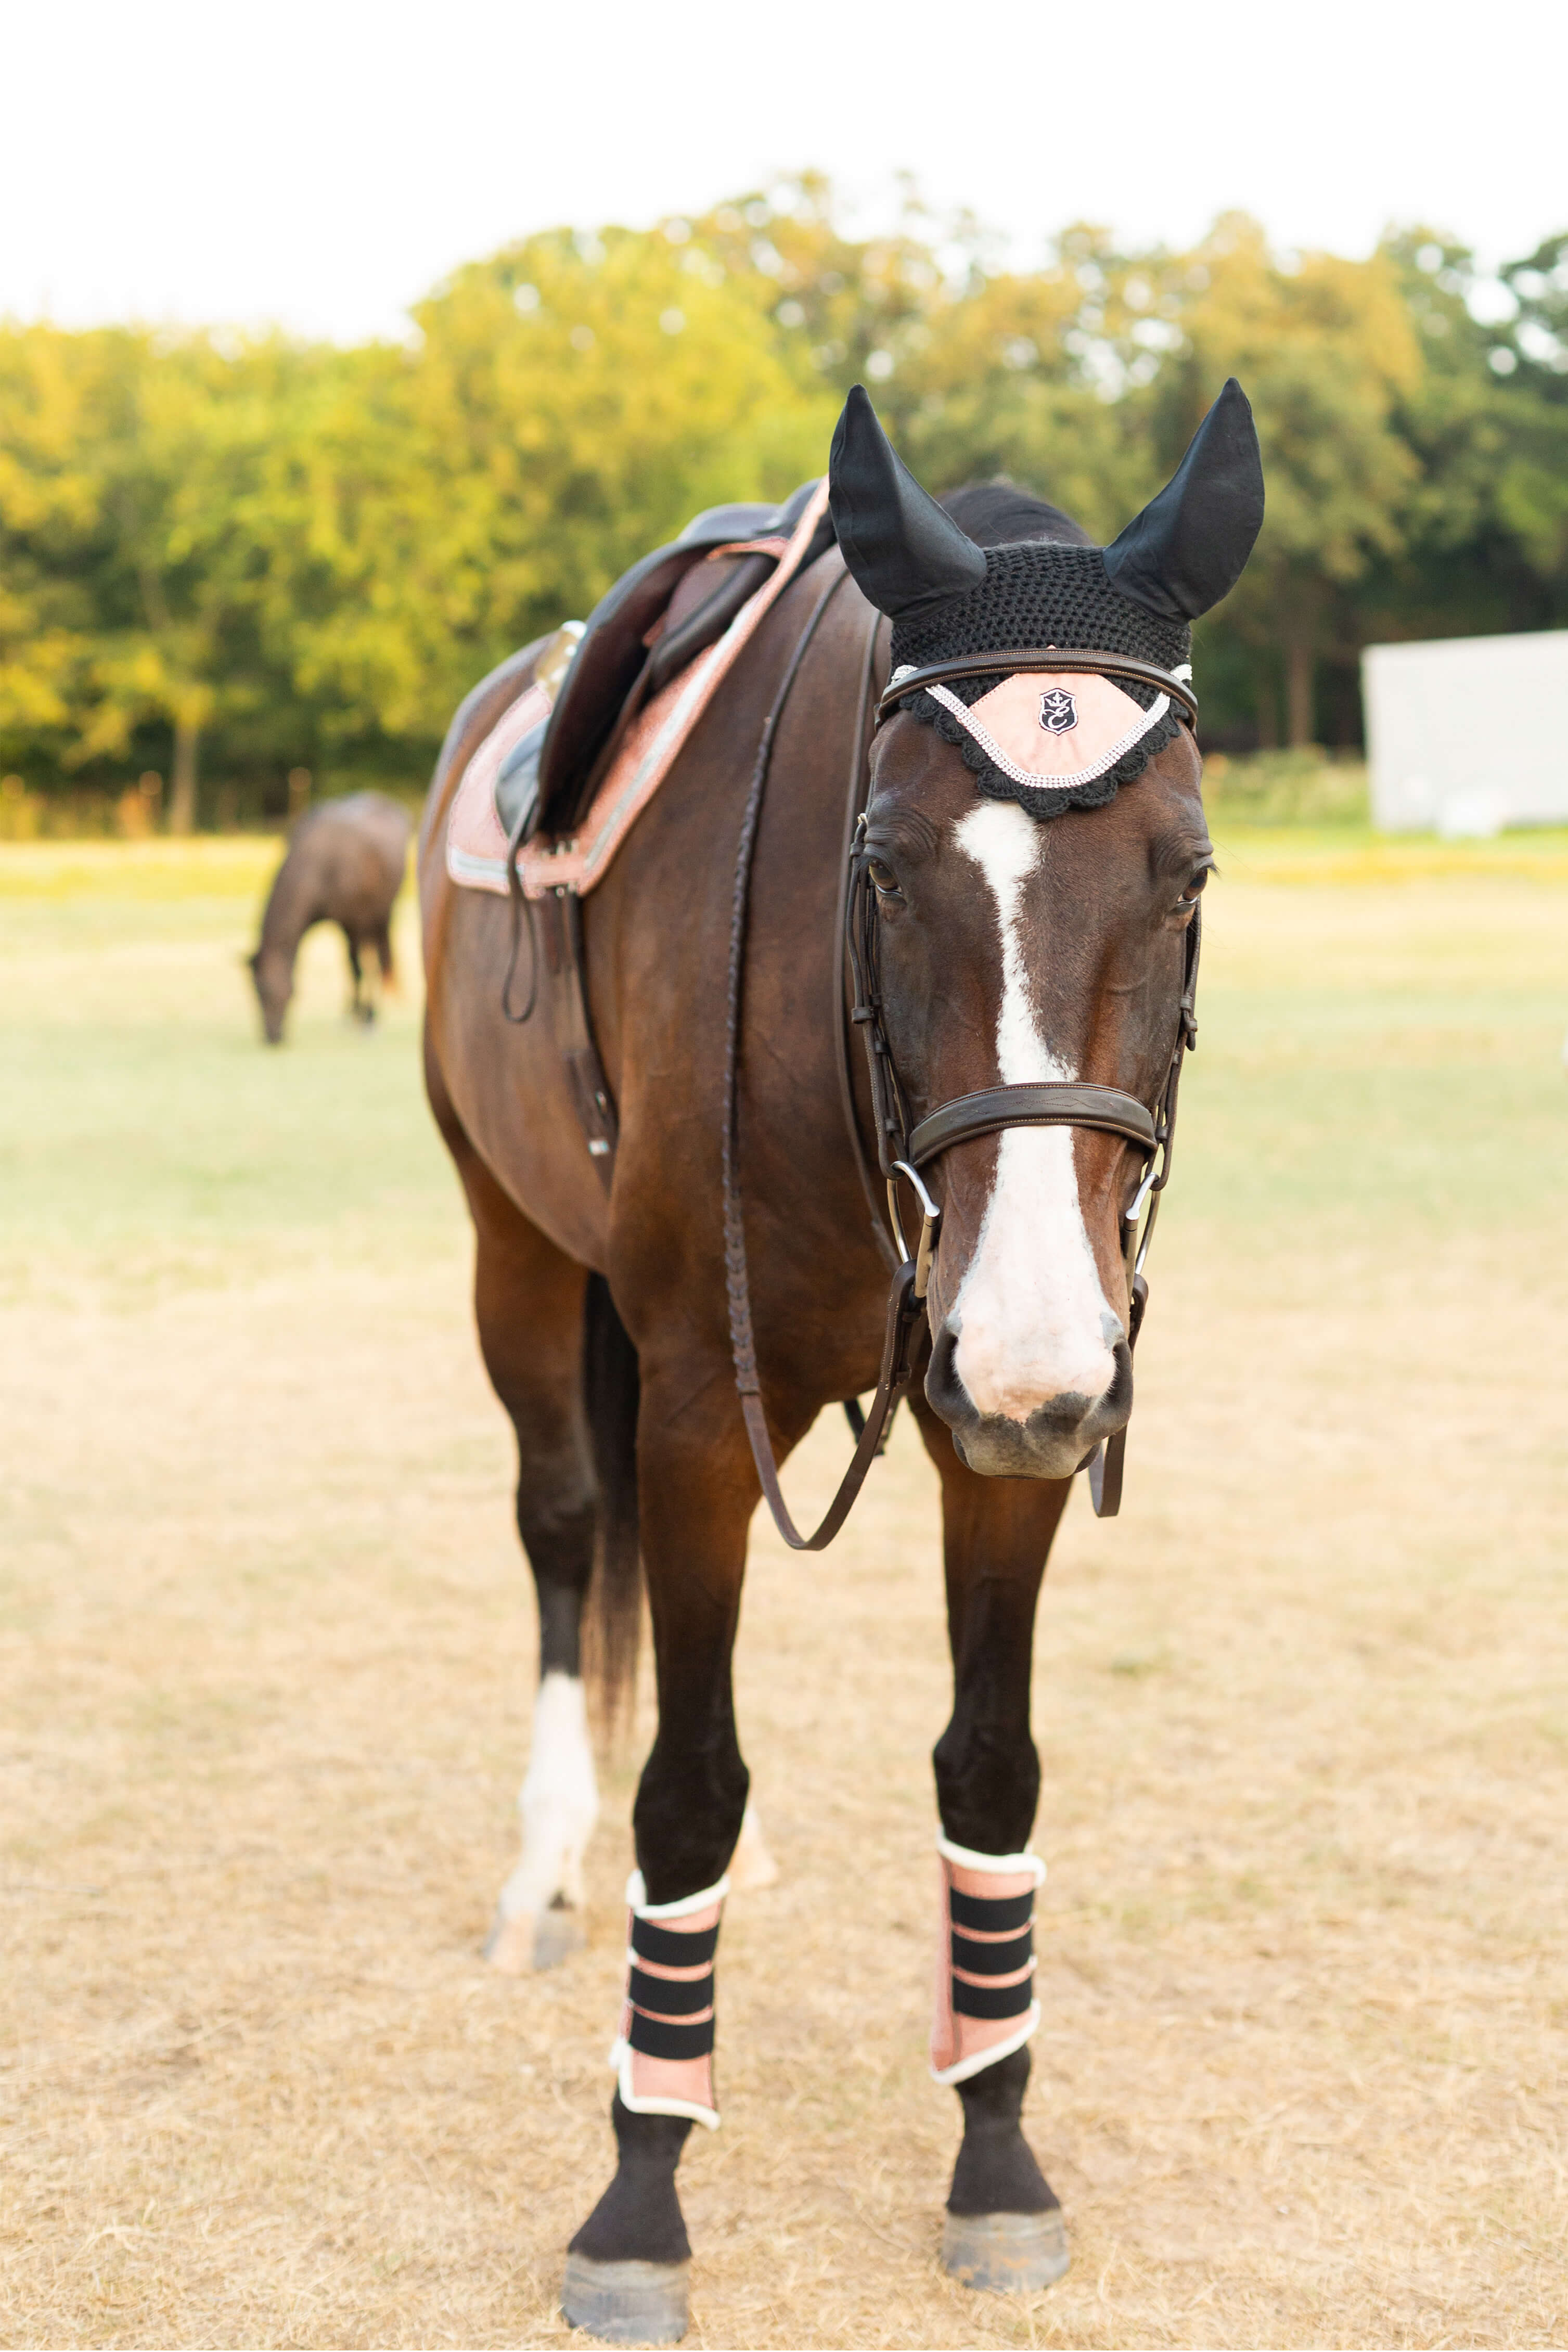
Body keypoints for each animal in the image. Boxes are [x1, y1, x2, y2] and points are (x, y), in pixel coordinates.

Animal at [248, 790, 409, 1049]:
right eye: (255, 991)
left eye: (267, 990)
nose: (273, 1038)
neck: (320, 864)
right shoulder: (342, 924)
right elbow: (351, 967)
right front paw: (351, 1015)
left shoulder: (356, 921)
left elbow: (362, 969)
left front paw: (366, 1019)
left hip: (380, 914)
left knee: (377, 961)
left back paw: (372, 1016)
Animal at [416, 376, 1260, 2342]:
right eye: (877, 865)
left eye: (1185, 875)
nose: (1026, 1342)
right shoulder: (702, 1410)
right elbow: (685, 1783)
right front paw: (640, 2190)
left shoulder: (1005, 1423)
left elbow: (988, 1769)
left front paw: (997, 2153)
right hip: (519, 1254)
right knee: (567, 1534)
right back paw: (543, 1864)